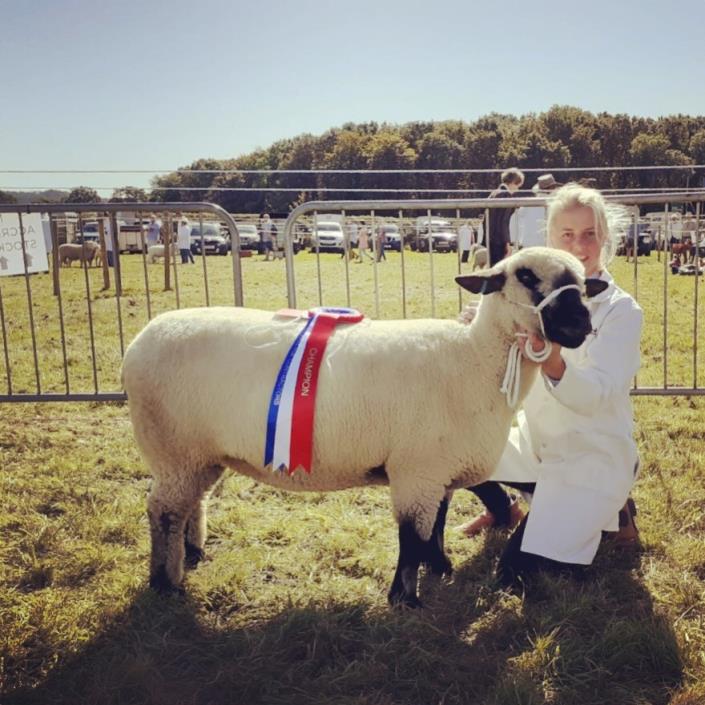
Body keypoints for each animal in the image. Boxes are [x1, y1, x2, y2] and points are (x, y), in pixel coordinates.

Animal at [122, 246, 604, 604]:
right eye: (525, 276)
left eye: (584, 284)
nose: (581, 322)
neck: (474, 361)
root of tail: (142, 338)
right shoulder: (416, 470)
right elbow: (412, 535)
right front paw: (405, 598)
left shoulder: (436, 468)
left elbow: (436, 525)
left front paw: (441, 568)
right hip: (173, 448)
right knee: (163, 510)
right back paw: (165, 582)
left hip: (199, 454)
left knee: (191, 503)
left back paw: (192, 553)